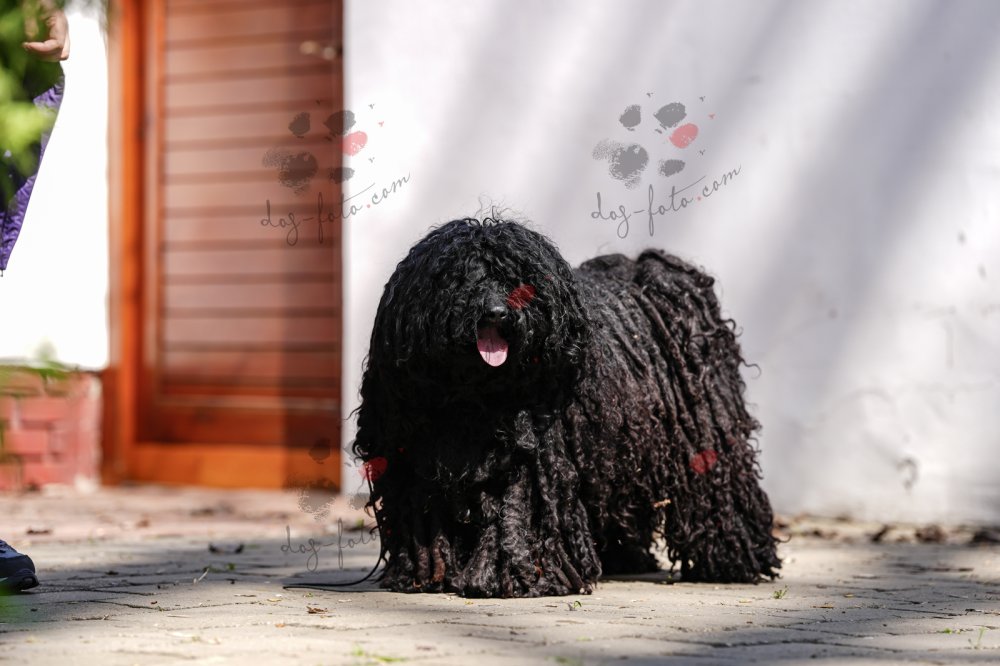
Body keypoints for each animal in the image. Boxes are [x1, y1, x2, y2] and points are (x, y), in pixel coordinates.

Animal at [352, 217, 780, 597]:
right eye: (460, 278)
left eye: (518, 280)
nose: (496, 312)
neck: (472, 396)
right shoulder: (413, 456)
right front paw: (422, 575)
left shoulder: (532, 456)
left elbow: (518, 509)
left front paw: (519, 578)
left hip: (701, 427)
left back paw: (732, 560)